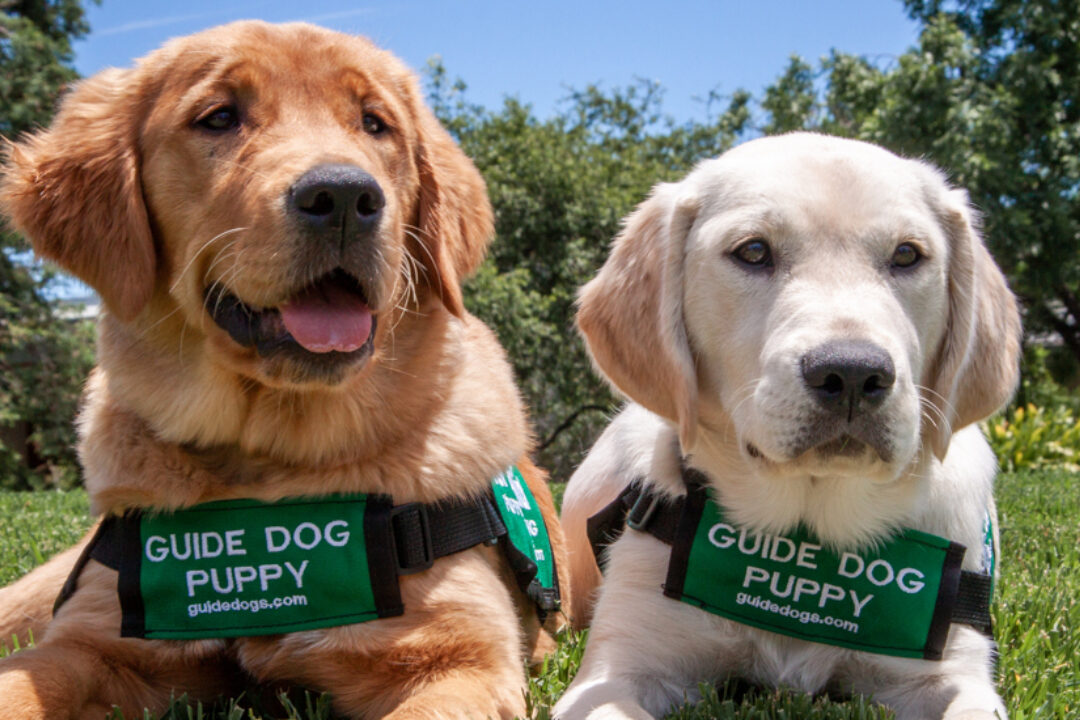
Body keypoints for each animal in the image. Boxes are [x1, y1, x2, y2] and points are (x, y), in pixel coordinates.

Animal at [0, 19, 570, 716]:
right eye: (219, 117)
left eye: (375, 123)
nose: (345, 196)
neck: (266, 463)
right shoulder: (83, 645)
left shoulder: (458, 656)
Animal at [557, 131, 1019, 720]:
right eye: (753, 251)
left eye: (907, 255)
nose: (852, 372)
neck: (807, 548)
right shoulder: (619, 667)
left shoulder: (953, 671)